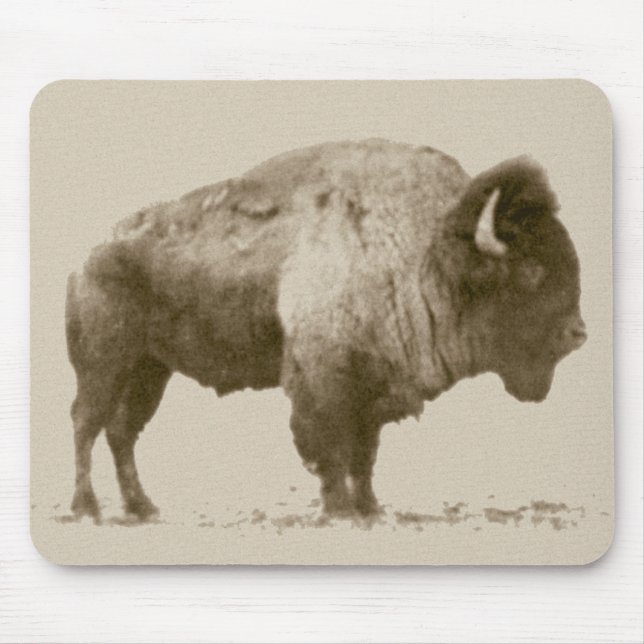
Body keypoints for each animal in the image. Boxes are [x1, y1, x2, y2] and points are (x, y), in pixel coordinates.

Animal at [66, 139, 586, 522]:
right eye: (531, 271)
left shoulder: (372, 390)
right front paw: (340, 511)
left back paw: (142, 507)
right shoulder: (323, 383)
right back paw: (87, 508)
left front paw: (371, 509)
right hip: (105, 365)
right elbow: (331, 449)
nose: (578, 333)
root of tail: (89, 257)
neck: (425, 254)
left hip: (149, 370)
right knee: (86, 423)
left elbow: (364, 454)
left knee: (121, 432)